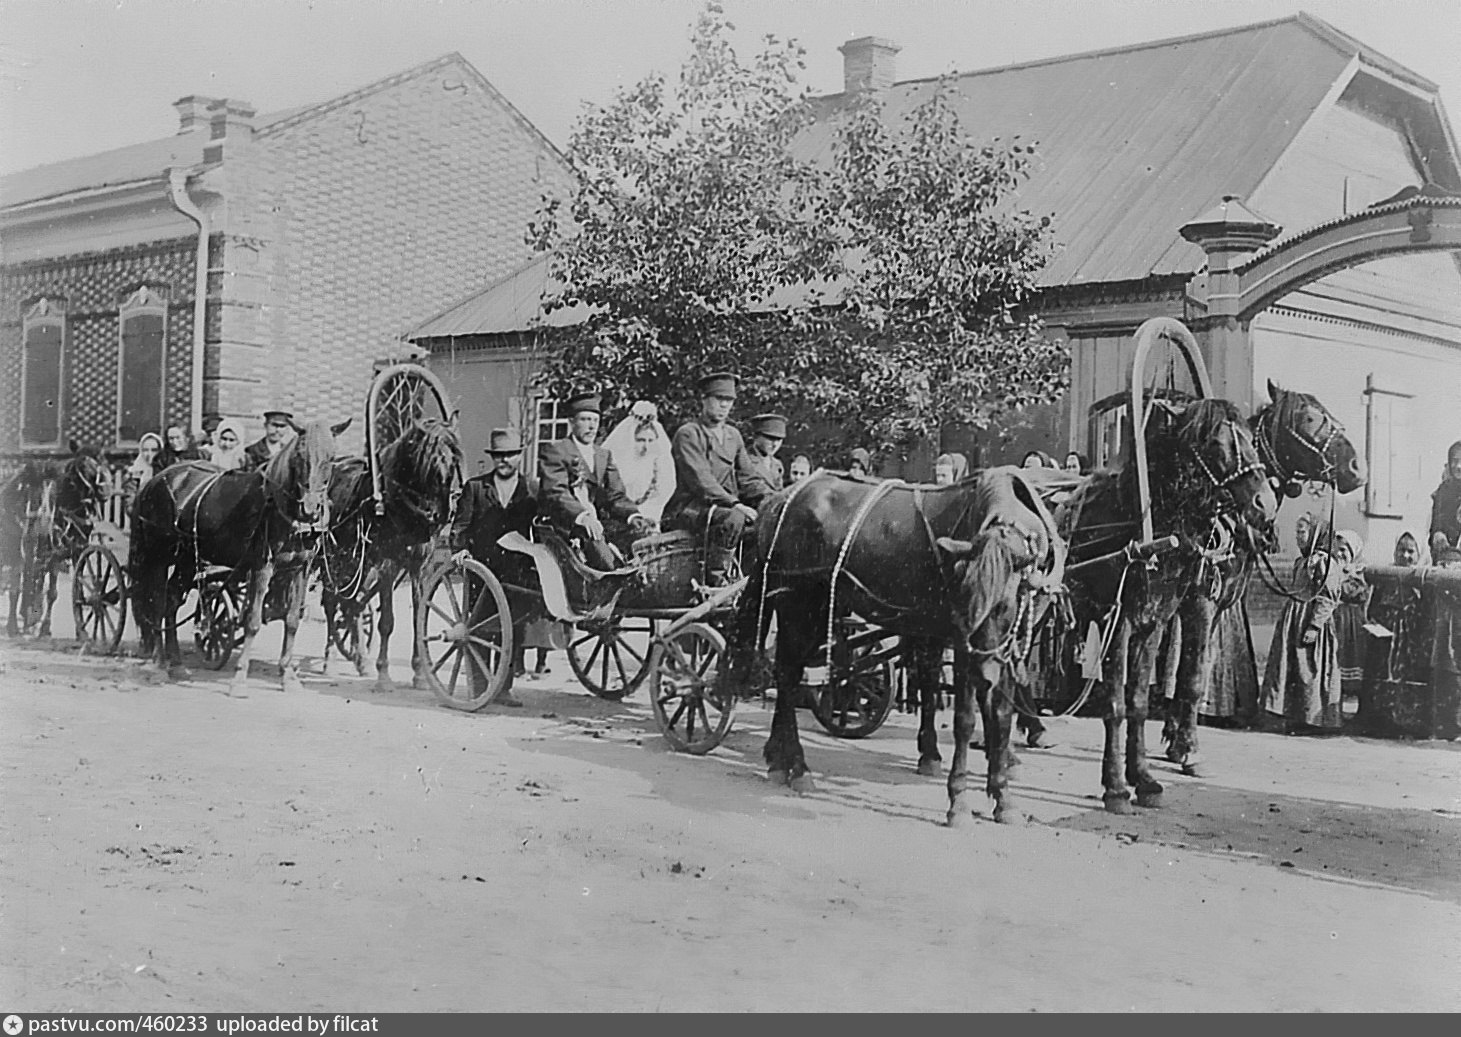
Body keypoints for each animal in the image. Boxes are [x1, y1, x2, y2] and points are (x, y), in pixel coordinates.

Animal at [0, 449, 108, 636]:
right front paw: (24, 622)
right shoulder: (28, 552)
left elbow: (58, 592)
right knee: (20, 586)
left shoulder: (68, 553)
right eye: (81, 470)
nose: (103, 493)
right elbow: (21, 588)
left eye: (99, 465)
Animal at [127, 417, 350, 698]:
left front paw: (288, 677)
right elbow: (252, 621)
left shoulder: (301, 567)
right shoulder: (262, 567)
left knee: (171, 601)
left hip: (187, 560)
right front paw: (240, 679)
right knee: (156, 604)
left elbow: (291, 621)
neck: (278, 506)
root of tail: (157, 479)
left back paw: (176, 664)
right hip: (158, 556)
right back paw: (159, 665)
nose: (310, 509)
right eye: (300, 455)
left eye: (331, 457)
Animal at [317, 411, 458, 689]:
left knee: (353, 605)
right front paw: (383, 674)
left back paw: (361, 660)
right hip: (333, 562)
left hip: (360, 565)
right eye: (429, 457)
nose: (443, 512)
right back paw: (330, 661)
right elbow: (387, 622)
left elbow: (418, 616)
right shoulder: (387, 563)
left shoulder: (418, 565)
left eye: (455, 456)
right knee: (331, 603)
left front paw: (419, 673)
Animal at [727, 470, 1063, 829]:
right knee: (788, 676)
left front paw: (1004, 797)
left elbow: (1000, 717)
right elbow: (965, 720)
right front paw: (958, 801)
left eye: (1004, 606)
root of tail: (777, 501)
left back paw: (778, 759)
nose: (983, 673)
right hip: (798, 603)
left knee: (788, 675)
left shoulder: (1009, 647)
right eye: (963, 600)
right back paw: (798, 767)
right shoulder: (960, 643)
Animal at [1051, 397, 1279, 812]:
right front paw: (1116, 787)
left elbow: (1140, 701)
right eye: (1215, 443)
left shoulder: (1154, 622)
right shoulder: (1120, 621)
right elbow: (1118, 704)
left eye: (1251, 439)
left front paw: (1143, 778)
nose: (1264, 503)